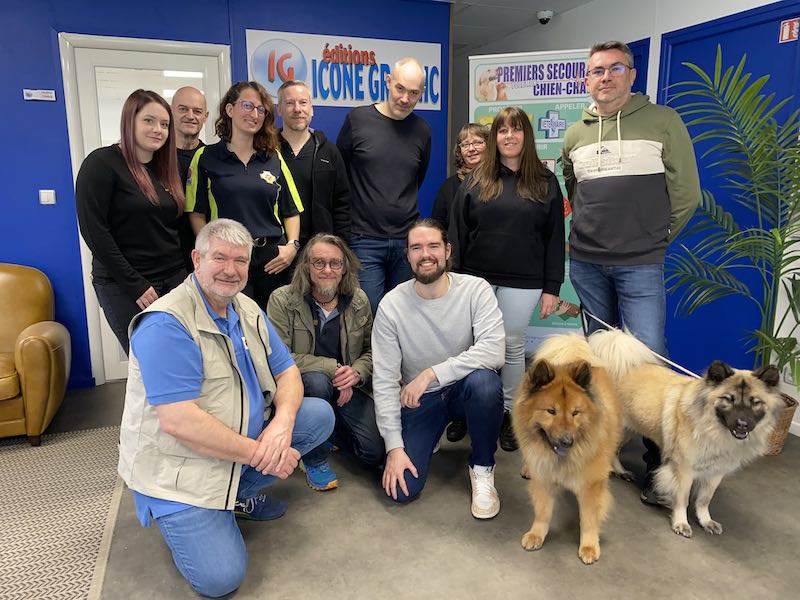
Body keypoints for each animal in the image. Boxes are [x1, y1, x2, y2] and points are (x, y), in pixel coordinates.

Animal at [512, 332, 624, 564]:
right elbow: (543, 511)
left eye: (575, 413)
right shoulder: (544, 477)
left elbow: (589, 518)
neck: (561, 460)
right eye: (551, 411)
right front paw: (536, 534)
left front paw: (589, 546)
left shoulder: (591, 485)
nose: (567, 441)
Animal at [592, 330, 784, 536]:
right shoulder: (684, 469)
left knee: (615, 450)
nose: (742, 424)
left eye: (755, 402)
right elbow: (682, 499)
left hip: (627, 429)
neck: (712, 429)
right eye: (728, 399)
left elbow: (704, 500)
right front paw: (681, 523)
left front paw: (706, 521)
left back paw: (620, 471)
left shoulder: (715, 473)